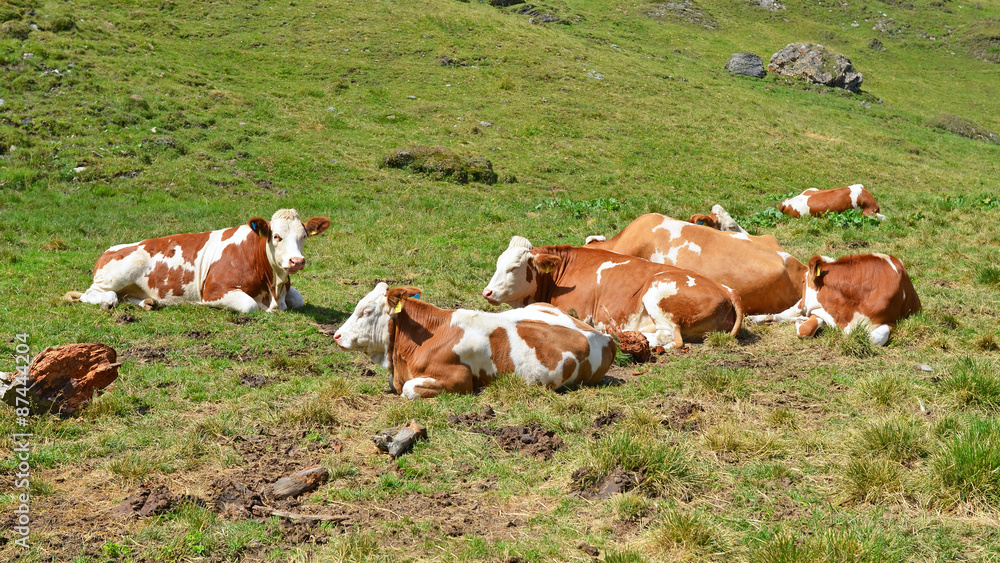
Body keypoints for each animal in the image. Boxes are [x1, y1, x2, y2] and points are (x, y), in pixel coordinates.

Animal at [67, 209, 332, 312]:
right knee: (94, 294)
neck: (273, 288)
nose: (297, 261)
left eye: (303, 236)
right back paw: (107, 301)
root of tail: (111, 248)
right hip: (119, 272)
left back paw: (150, 302)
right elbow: (249, 305)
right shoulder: (215, 290)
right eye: (276, 236)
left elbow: (298, 299)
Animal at [484, 236, 744, 350]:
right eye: (497, 264)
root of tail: (726, 289)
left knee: (672, 337)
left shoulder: (577, 311)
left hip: (656, 290)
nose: (487, 292)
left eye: (514, 267)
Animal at [752, 253, 920, 346]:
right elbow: (805, 328)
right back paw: (759, 318)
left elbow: (875, 338)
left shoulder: (891, 321)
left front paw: (801, 322)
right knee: (787, 312)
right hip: (801, 305)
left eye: (803, 281)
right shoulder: (823, 311)